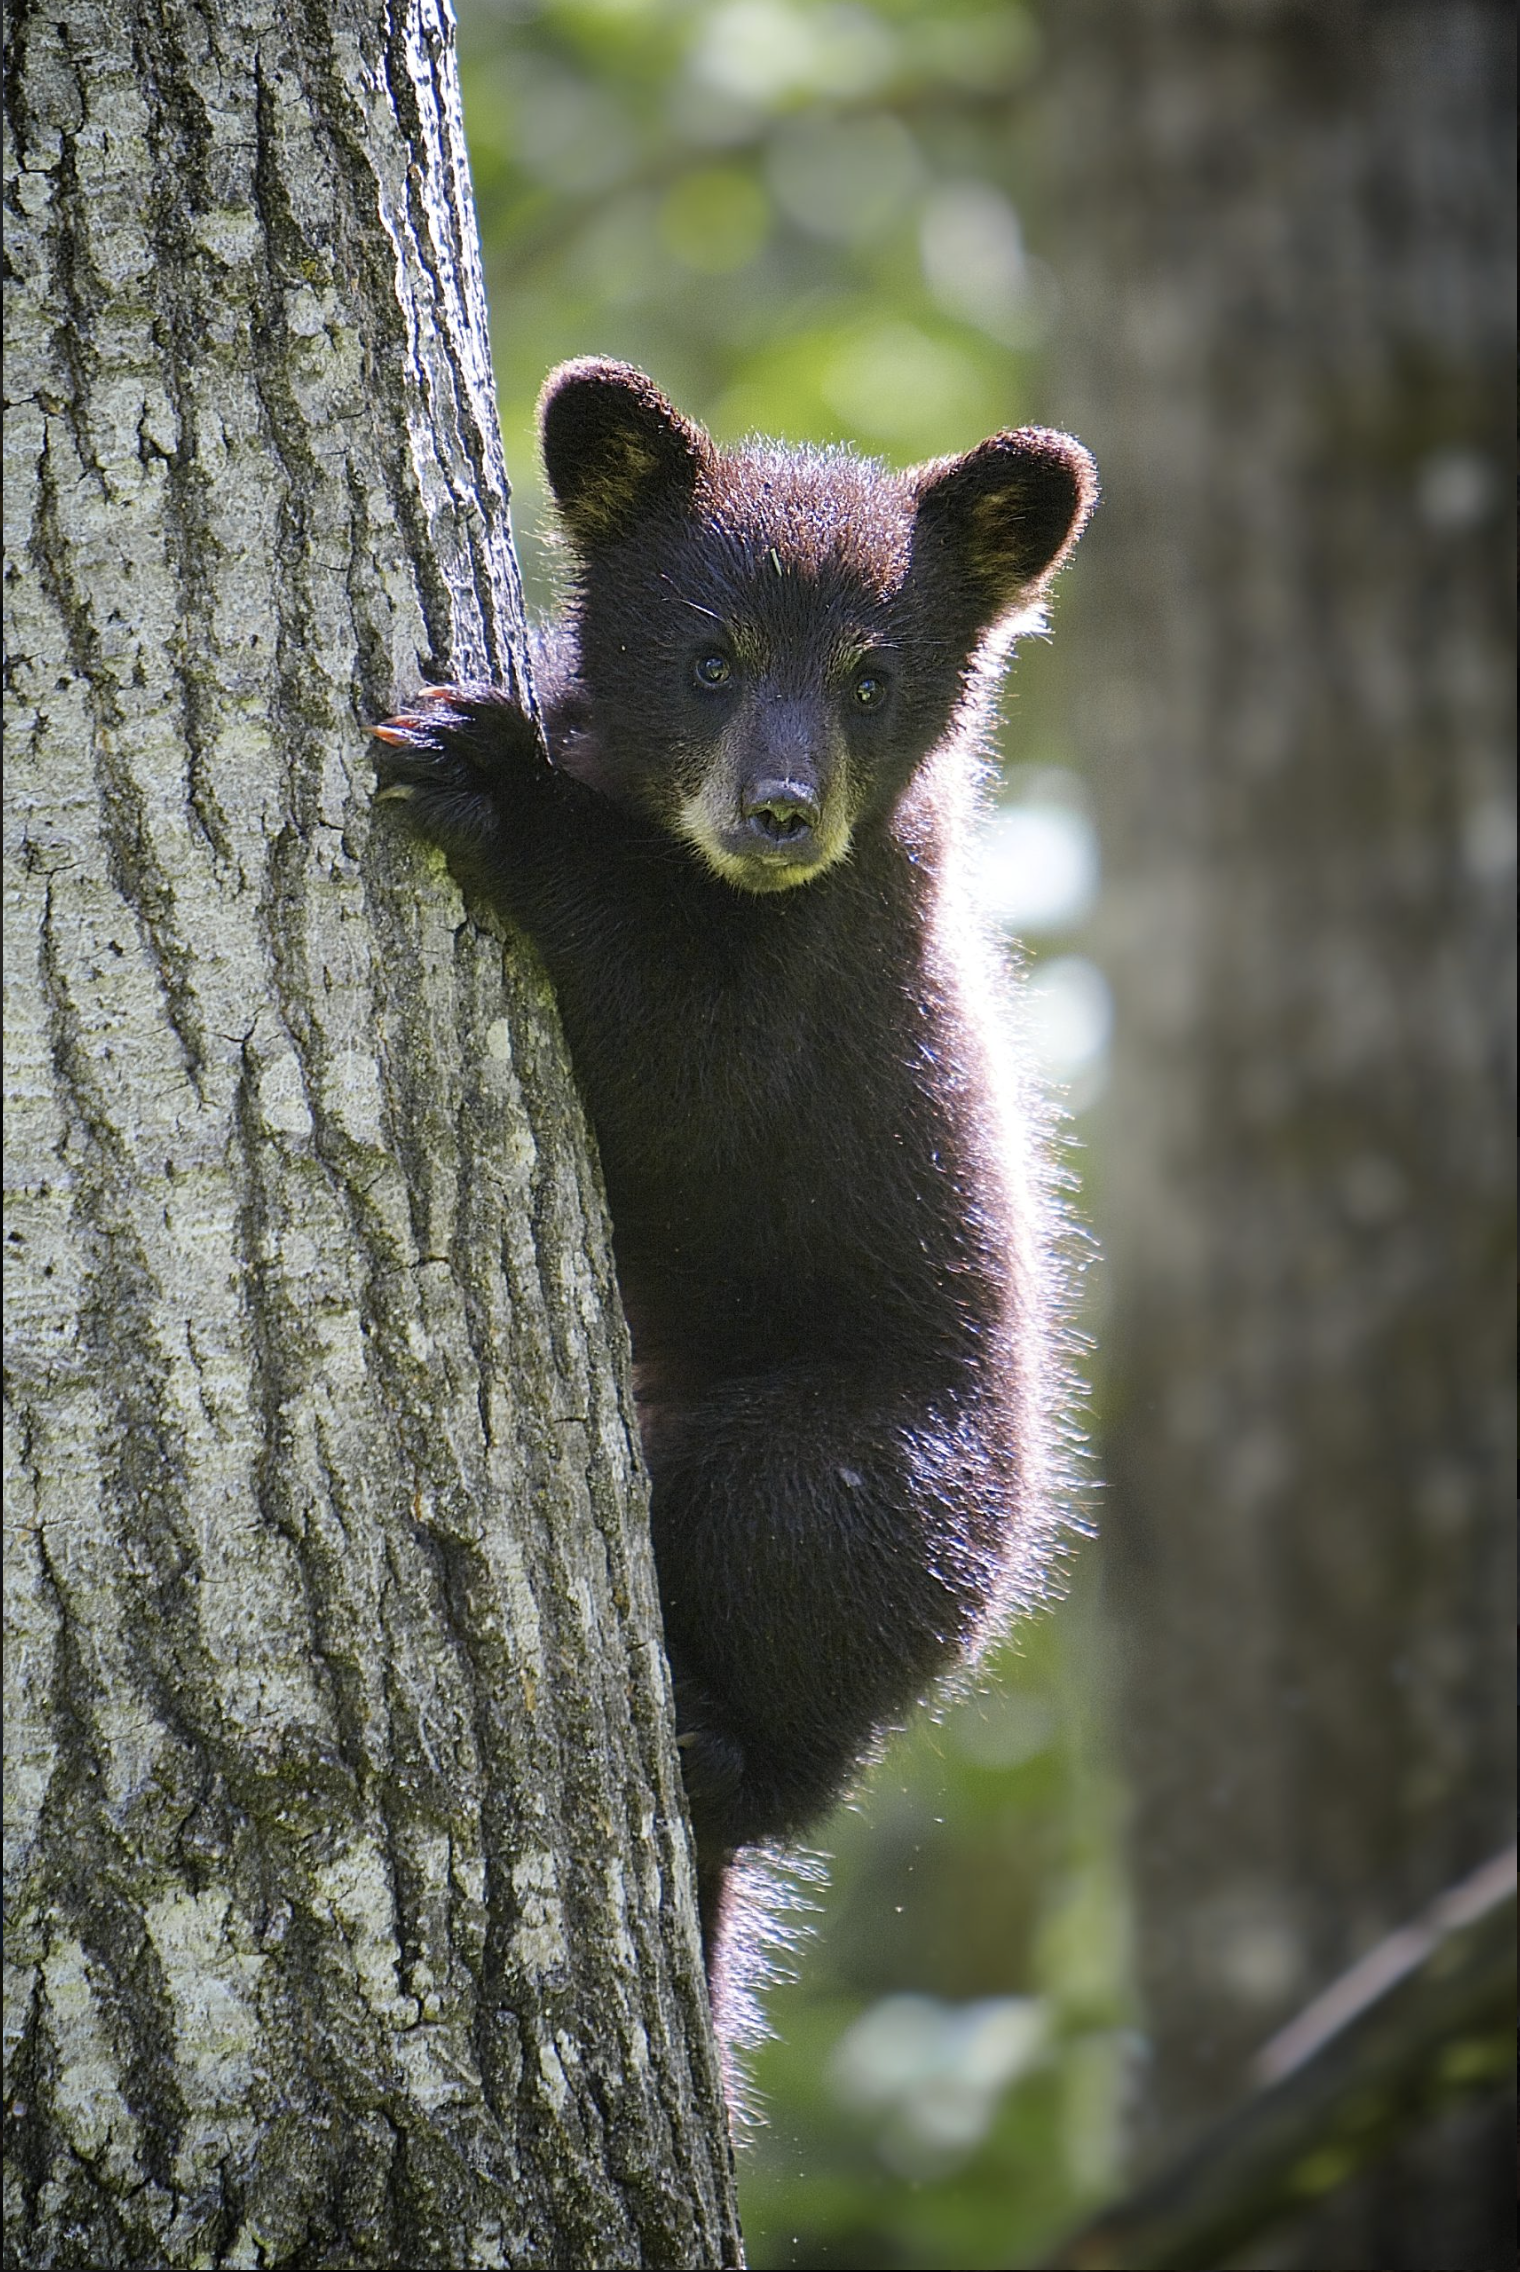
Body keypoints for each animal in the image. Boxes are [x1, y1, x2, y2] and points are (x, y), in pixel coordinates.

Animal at [372, 358, 1097, 2056]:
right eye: (710, 659)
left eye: (872, 678)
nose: (779, 812)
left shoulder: (824, 972)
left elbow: (684, 1065)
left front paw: (488, 770)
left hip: (879, 1465)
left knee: (788, 1577)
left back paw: (717, 1751)